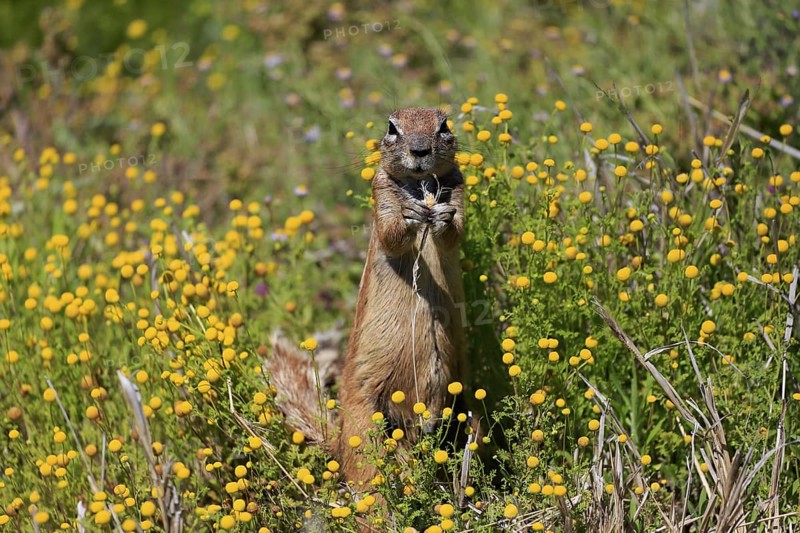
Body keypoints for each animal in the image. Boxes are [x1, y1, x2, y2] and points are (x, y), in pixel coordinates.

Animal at [266, 107, 466, 488]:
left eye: (444, 124)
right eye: (392, 127)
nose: (420, 150)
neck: (421, 187)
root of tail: (339, 439)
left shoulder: (459, 188)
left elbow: (457, 231)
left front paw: (444, 217)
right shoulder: (381, 192)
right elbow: (390, 233)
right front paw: (411, 215)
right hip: (365, 426)